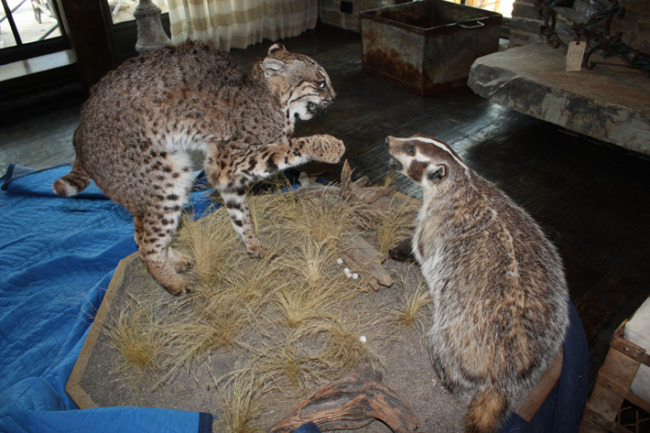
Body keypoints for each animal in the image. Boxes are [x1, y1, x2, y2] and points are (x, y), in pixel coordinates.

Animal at [53, 41, 345, 296]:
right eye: (320, 83)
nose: (334, 96)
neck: (269, 97)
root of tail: (79, 131)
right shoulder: (225, 162)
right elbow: (288, 148)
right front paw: (328, 146)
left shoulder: (228, 175)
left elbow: (242, 216)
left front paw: (254, 247)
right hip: (166, 181)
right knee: (148, 246)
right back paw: (173, 283)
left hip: (150, 189)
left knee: (139, 236)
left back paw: (174, 261)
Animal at [387, 135, 569, 433]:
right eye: (412, 138)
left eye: (411, 149)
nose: (389, 140)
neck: (461, 181)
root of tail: (502, 374)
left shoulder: (433, 222)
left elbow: (420, 248)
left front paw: (398, 250)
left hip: (450, 337)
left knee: (443, 351)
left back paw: (441, 375)